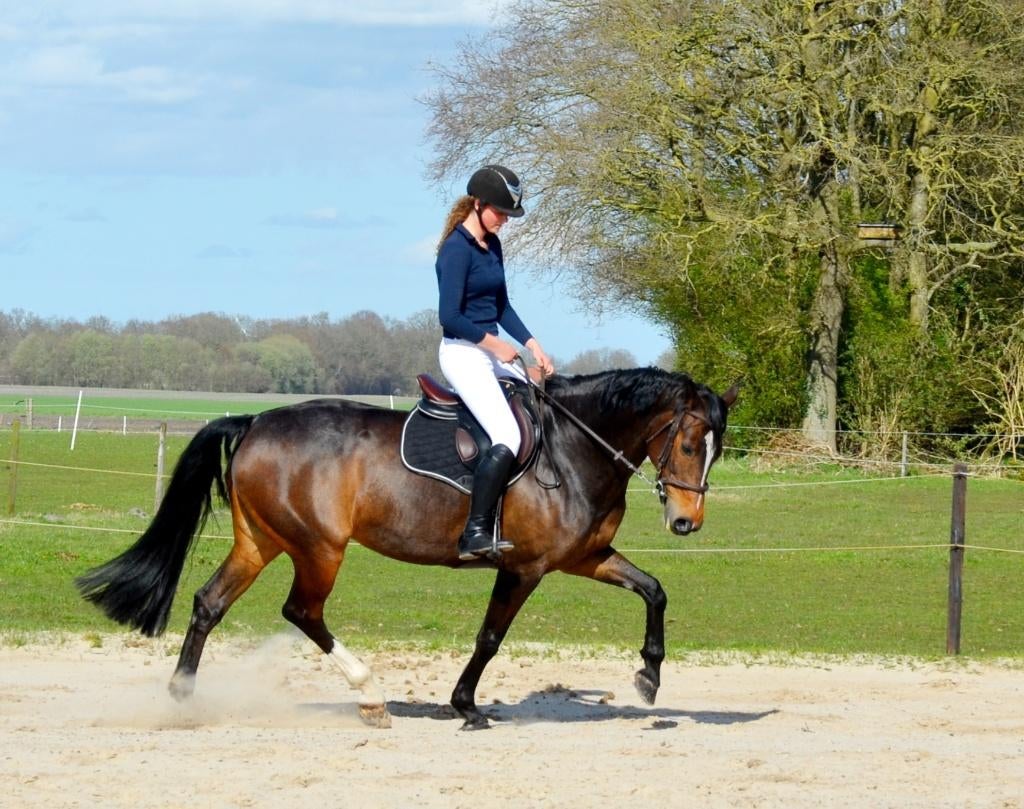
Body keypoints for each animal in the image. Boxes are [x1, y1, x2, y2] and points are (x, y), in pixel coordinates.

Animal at [76, 367, 738, 730]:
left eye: (717, 449)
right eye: (688, 444)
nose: (686, 522)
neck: (573, 448)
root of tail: (257, 421)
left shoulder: (583, 558)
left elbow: (654, 589)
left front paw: (649, 676)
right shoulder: (524, 567)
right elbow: (490, 637)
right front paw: (466, 706)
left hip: (261, 541)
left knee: (209, 603)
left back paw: (182, 699)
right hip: (318, 547)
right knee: (302, 611)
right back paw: (369, 695)